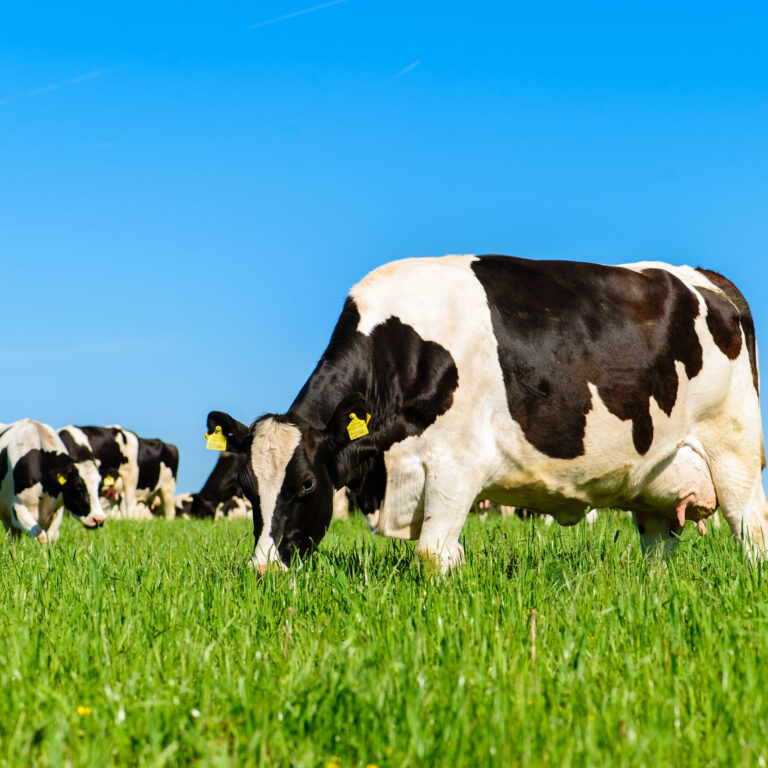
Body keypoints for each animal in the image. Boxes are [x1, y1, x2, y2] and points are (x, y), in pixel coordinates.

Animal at [207, 255, 767, 573]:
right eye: (247, 489)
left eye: (306, 484)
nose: (263, 569)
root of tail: (707, 280)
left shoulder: (456, 466)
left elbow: (433, 555)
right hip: (656, 477)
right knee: (658, 549)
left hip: (733, 448)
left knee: (750, 528)